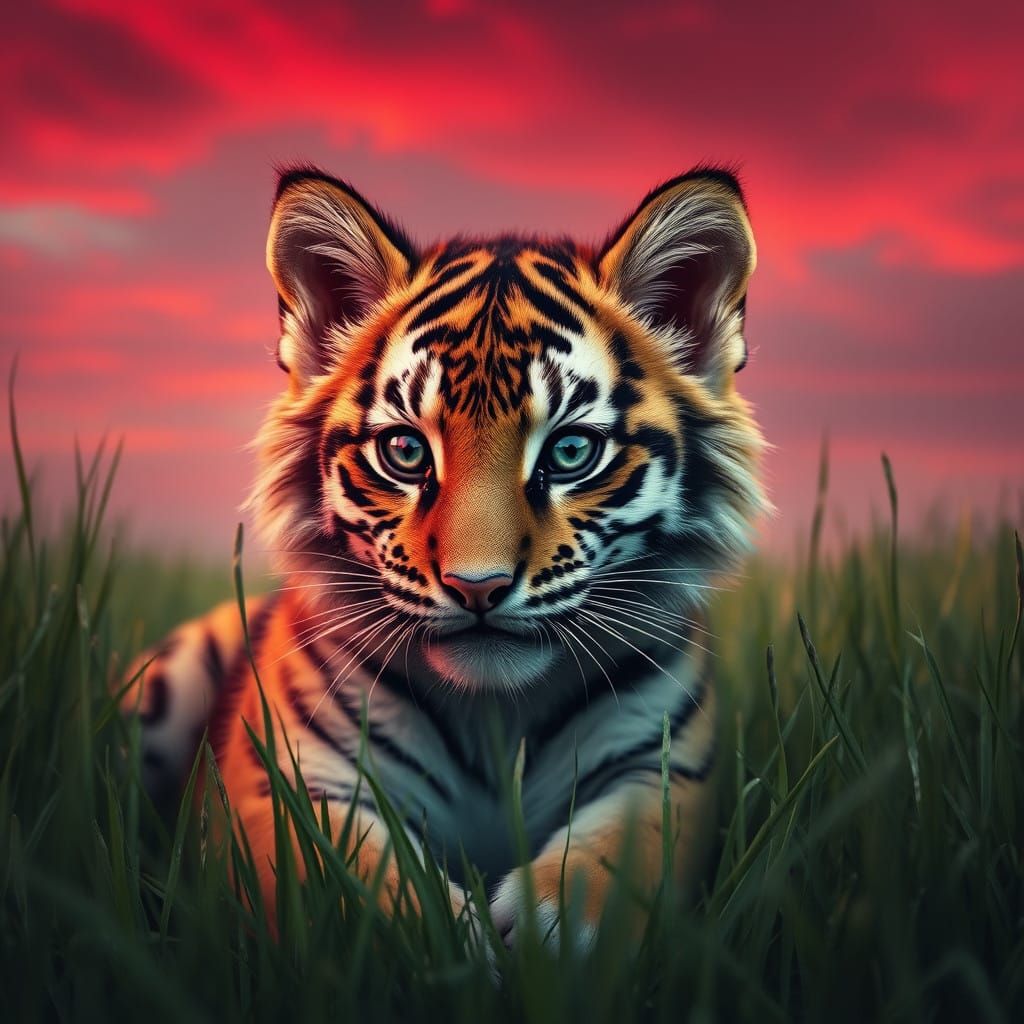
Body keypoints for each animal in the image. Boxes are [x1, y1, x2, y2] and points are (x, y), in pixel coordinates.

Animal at [124, 165, 766, 950]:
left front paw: (545, 938)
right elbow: (360, 889)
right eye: (405, 451)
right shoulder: (287, 778)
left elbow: (614, 867)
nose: (477, 587)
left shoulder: (665, 769)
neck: (495, 715)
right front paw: (448, 942)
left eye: (570, 451)